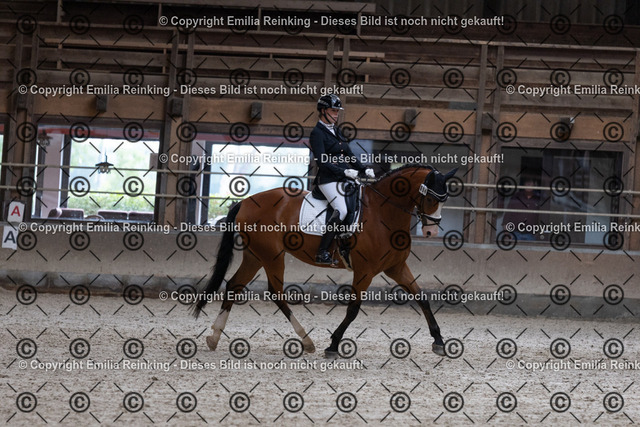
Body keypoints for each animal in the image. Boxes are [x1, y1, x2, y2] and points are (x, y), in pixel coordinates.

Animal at [192, 164, 458, 357]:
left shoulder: (396, 267)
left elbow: (422, 298)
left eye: (444, 199)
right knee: (276, 292)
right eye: (431, 199)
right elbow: (353, 309)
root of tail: (246, 201)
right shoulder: (365, 270)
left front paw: (438, 340)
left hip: (255, 255)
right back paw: (307, 340)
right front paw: (333, 345)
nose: (431, 232)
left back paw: (214, 337)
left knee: (234, 285)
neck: (383, 213)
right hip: (272, 255)